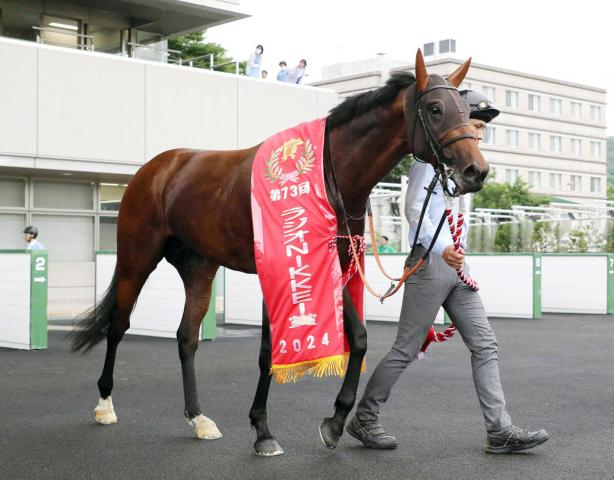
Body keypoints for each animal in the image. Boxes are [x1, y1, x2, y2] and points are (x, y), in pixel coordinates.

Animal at [70, 50, 488, 456]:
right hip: (136, 259)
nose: (476, 171)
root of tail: (156, 168)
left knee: (186, 337)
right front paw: (262, 430)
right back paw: (105, 404)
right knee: (118, 325)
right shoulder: (278, 268)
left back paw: (198, 418)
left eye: (465, 111)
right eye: (435, 109)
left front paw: (335, 421)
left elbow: (359, 338)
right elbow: (269, 351)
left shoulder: (332, 268)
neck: (328, 177)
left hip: (199, 268)